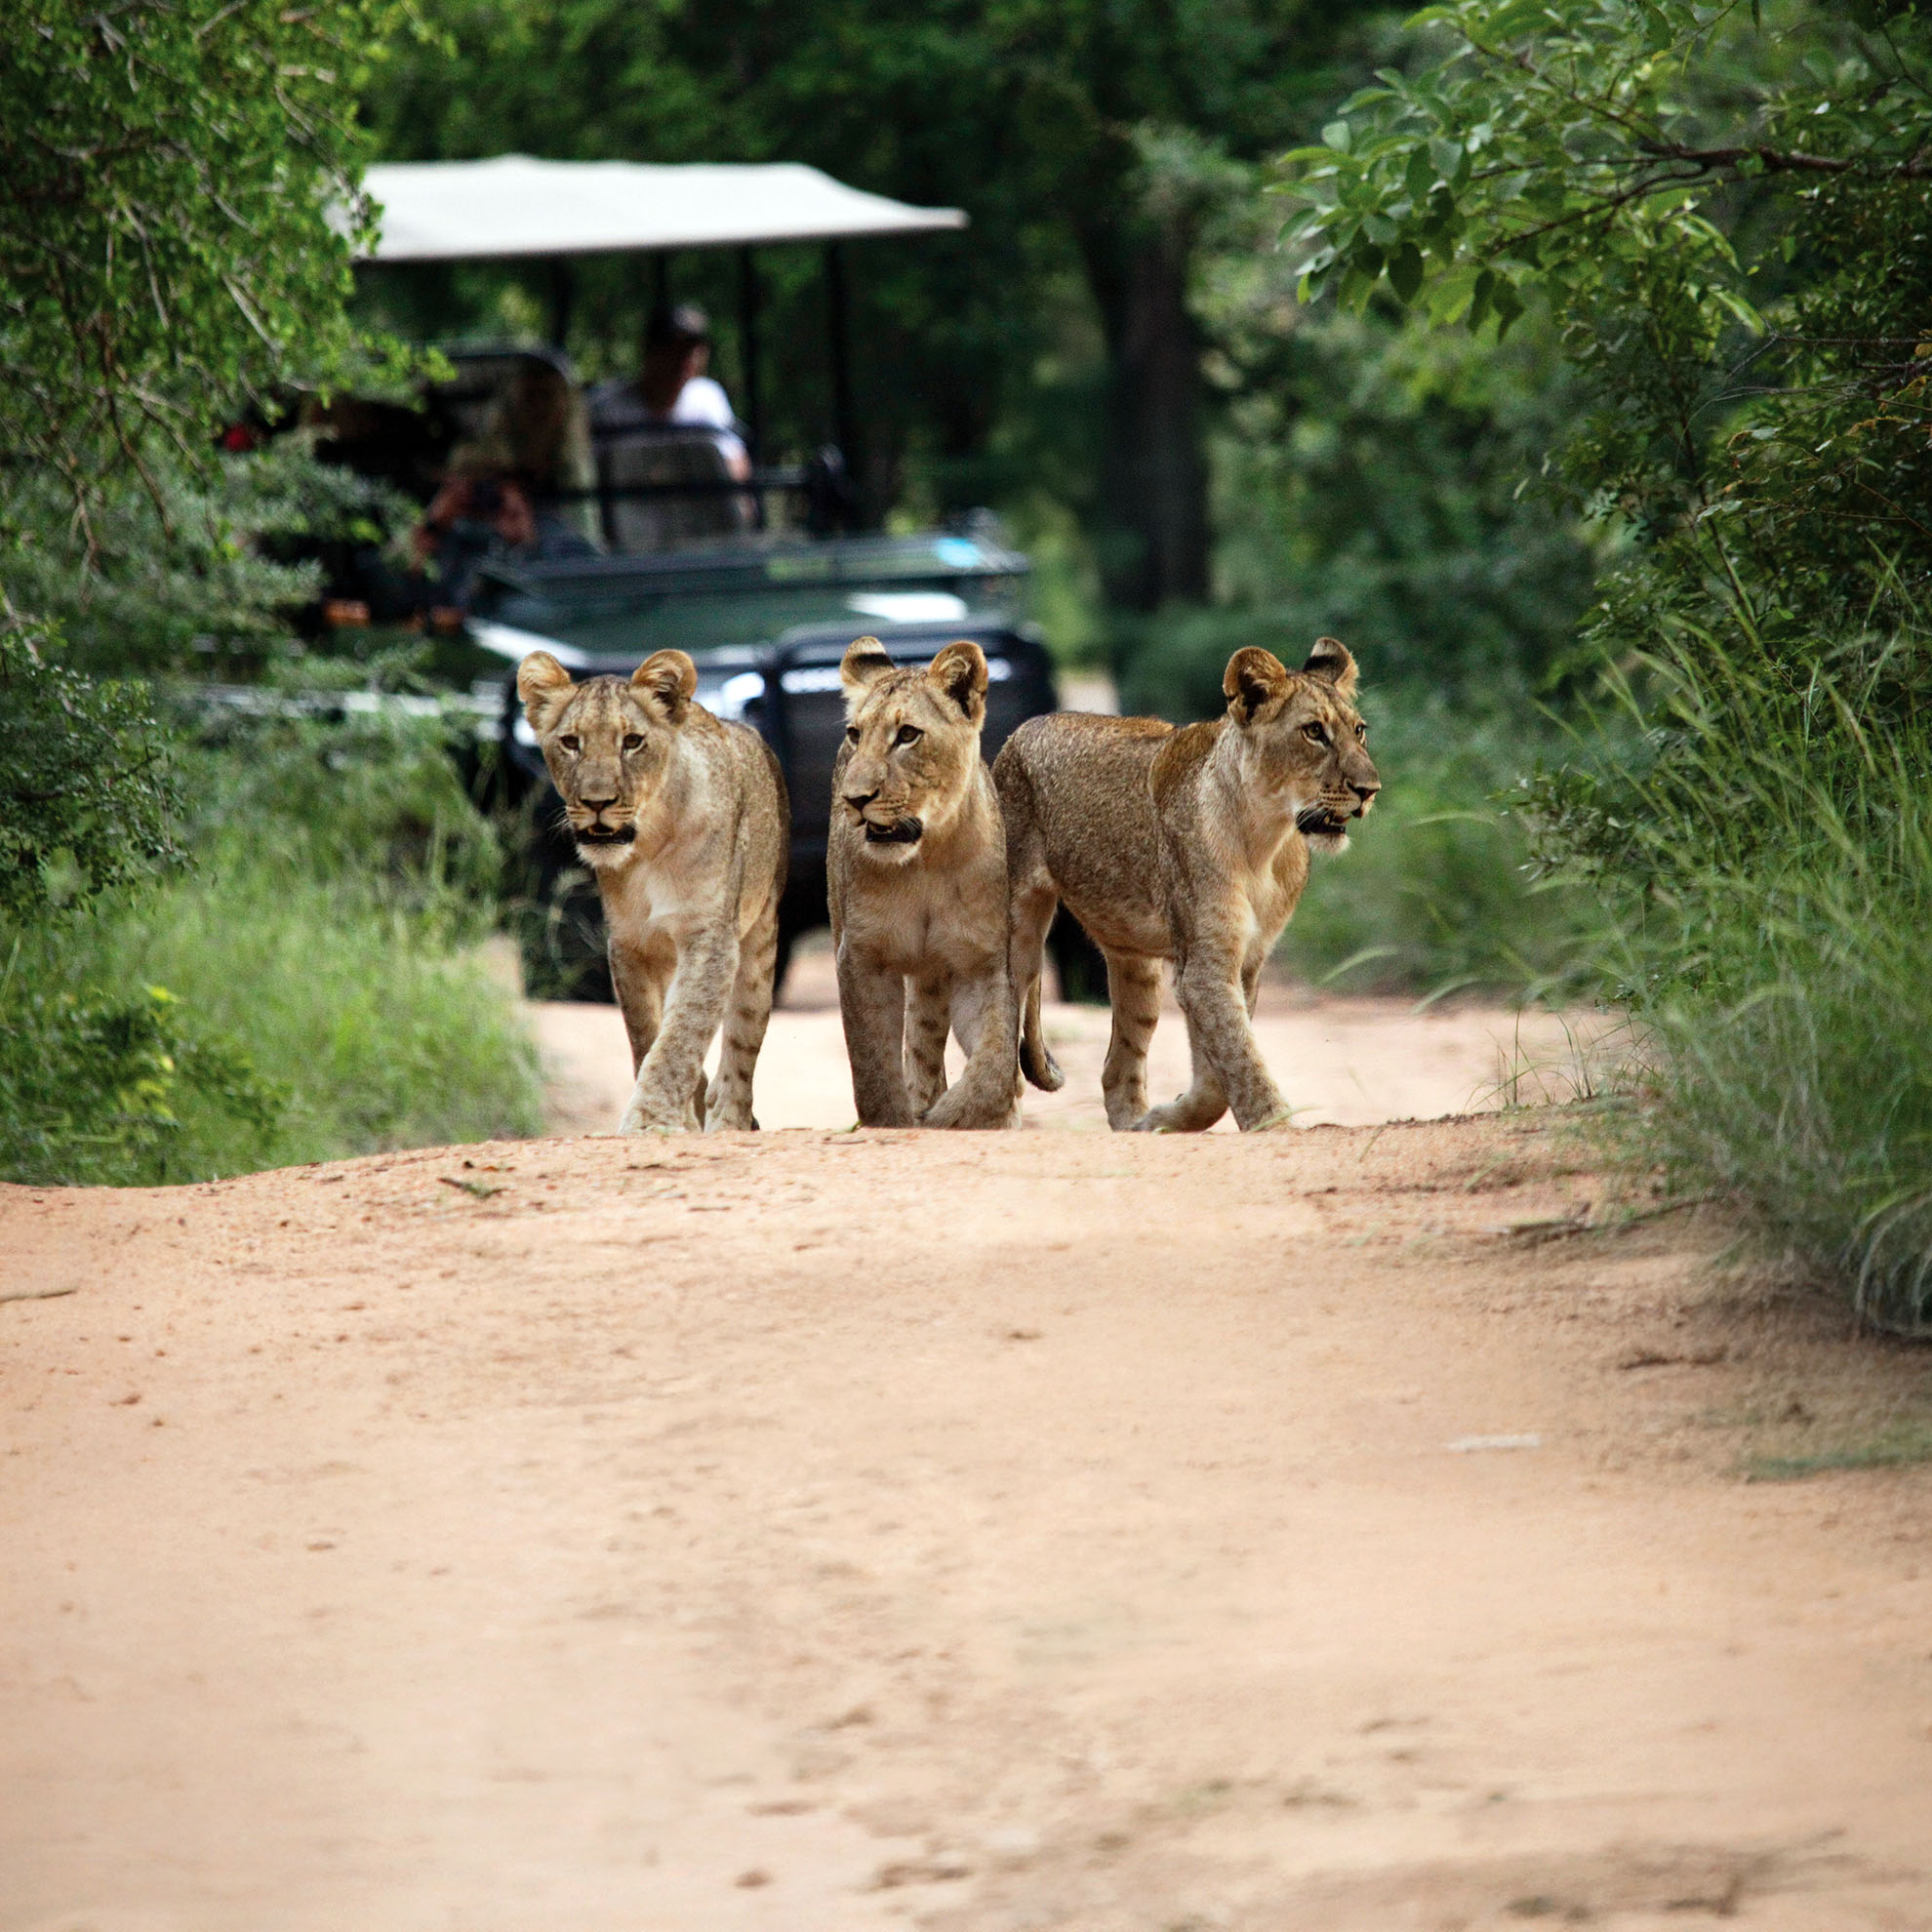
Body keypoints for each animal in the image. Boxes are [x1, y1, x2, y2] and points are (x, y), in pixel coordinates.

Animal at [517, 648, 789, 1133]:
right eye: (571, 742)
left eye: (632, 742)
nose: (597, 802)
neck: (649, 847)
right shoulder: (630, 944)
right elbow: (649, 1035)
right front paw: (672, 1116)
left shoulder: (710, 939)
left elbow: (682, 1033)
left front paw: (651, 1122)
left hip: (760, 939)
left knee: (742, 1043)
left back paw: (729, 1120)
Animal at [828, 636, 1018, 1129]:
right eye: (855, 734)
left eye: (908, 735)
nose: (854, 799)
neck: (926, 862)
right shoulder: (861, 957)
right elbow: (873, 1068)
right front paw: (898, 1121)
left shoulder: (980, 964)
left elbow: (995, 1066)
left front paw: (952, 1117)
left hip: (935, 976)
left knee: (925, 1044)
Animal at [993, 638, 1380, 1133]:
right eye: (1314, 732)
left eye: (1359, 731)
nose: (1370, 789)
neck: (1266, 840)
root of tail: (1022, 730)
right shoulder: (1204, 966)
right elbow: (1240, 1060)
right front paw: (1276, 1126)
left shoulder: (1244, 960)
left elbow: (1217, 1074)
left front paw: (1166, 1117)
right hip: (1016, 931)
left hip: (1136, 966)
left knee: (1116, 1068)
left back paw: (1135, 1125)